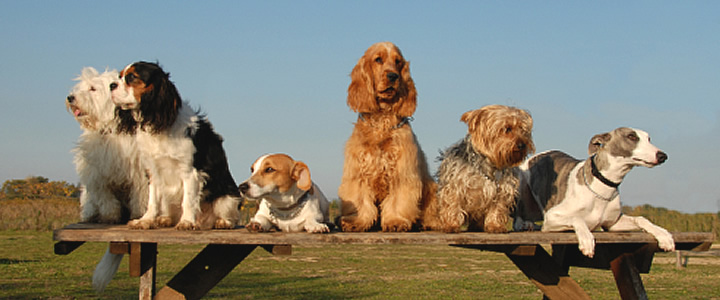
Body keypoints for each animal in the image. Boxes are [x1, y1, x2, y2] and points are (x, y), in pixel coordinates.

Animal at [66, 67, 149, 292]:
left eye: (93, 88)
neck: (110, 129)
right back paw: (91, 216)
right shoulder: (97, 174)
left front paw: (138, 214)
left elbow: (139, 195)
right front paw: (109, 217)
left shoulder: (138, 171)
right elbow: (106, 199)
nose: (70, 98)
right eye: (81, 87)